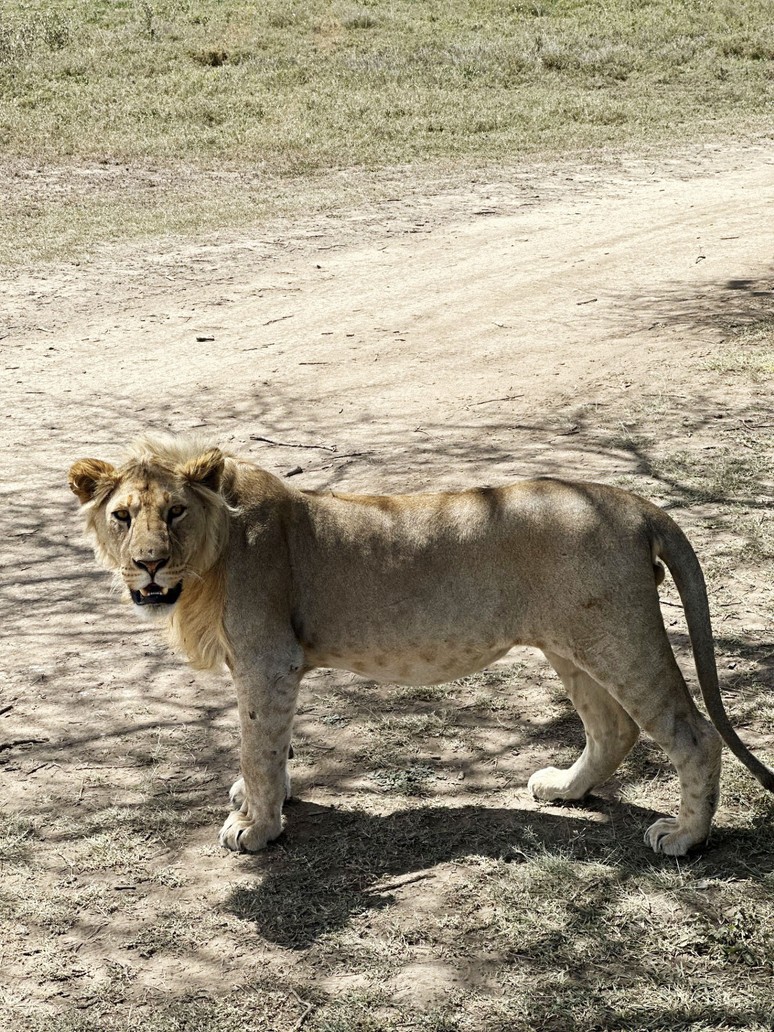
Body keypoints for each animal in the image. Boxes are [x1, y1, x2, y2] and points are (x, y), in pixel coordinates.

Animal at [68, 433, 774, 854]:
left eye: (175, 512)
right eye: (122, 516)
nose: (150, 564)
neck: (211, 557)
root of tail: (634, 504)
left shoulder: (268, 659)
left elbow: (257, 744)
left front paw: (257, 827)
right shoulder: (273, 666)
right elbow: (273, 740)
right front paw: (263, 798)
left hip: (619, 639)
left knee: (692, 733)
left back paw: (685, 836)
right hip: (570, 644)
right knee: (612, 728)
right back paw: (564, 789)